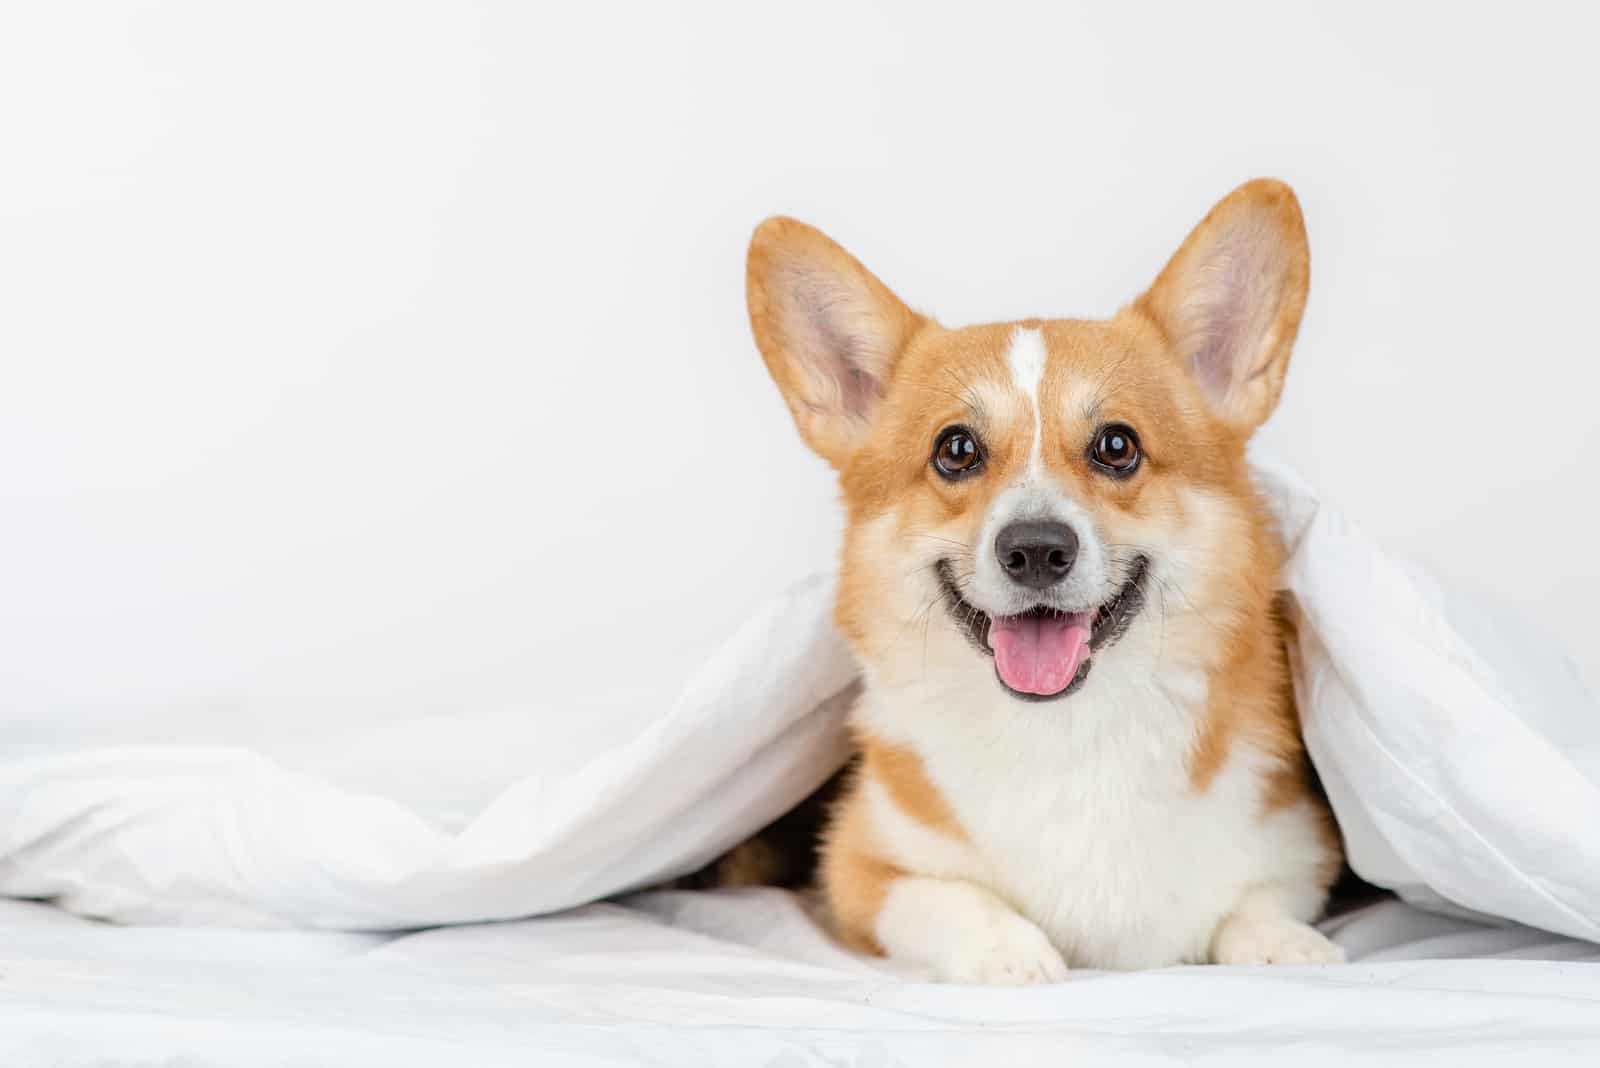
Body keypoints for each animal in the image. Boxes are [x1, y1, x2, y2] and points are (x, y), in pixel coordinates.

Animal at [742, 177, 1344, 984]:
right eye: (956, 449)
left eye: (1117, 445)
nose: (1034, 550)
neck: (1063, 732)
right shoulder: (863, 866)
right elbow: (947, 898)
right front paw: (1011, 954)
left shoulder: (1300, 844)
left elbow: (1254, 902)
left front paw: (1287, 946)